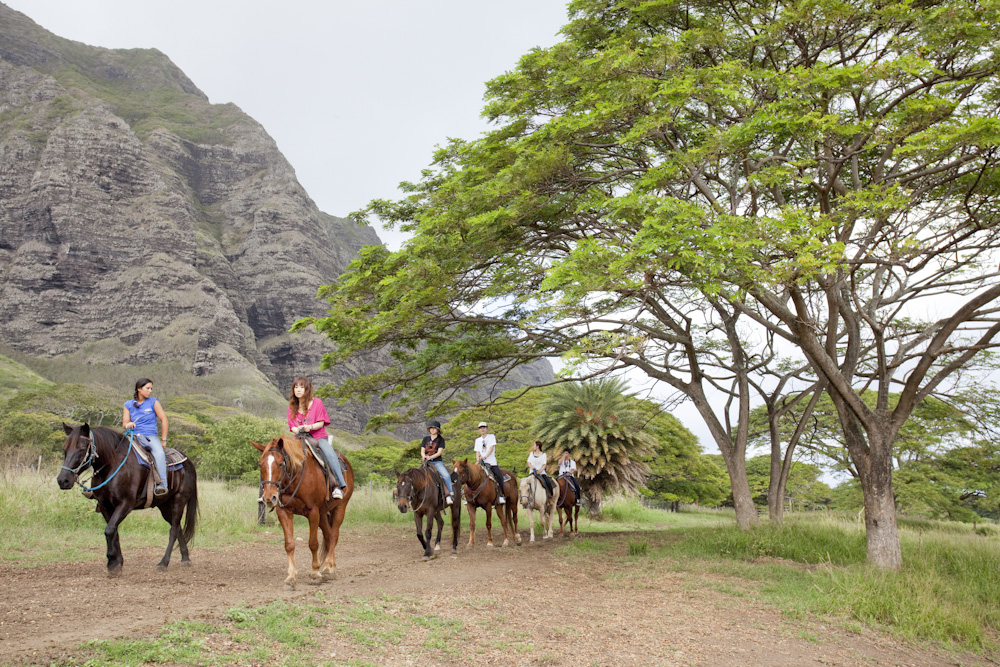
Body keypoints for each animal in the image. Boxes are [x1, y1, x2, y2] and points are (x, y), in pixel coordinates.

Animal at [55, 426, 200, 576]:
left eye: (82, 448)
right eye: (64, 448)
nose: (63, 480)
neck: (112, 465)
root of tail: (189, 463)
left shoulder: (125, 504)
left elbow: (109, 530)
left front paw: (112, 562)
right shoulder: (105, 505)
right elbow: (113, 531)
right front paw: (117, 563)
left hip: (179, 500)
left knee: (173, 530)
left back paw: (163, 563)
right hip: (164, 505)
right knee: (177, 527)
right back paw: (185, 558)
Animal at [252, 436, 354, 588]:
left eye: (280, 464)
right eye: (260, 464)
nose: (269, 498)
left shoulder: (313, 512)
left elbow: (313, 543)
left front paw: (315, 573)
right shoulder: (284, 512)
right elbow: (289, 545)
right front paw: (291, 576)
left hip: (340, 507)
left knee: (334, 535)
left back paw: (328, 568)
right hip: (323, 514)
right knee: (329, 536)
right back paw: (329, 567)